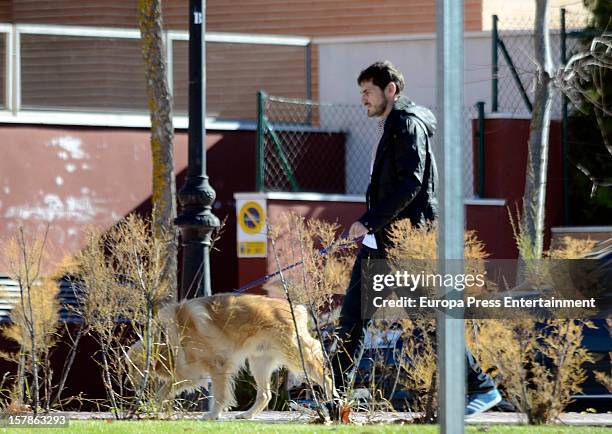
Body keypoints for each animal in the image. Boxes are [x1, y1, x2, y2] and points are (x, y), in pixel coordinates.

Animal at [126, 294, 332, 418]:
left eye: (132, 367)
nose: (131, 386)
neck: (169, 337)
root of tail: (296, 308)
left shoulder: (218, 366)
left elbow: (219, 395)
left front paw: (213, 414)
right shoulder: (190, 372)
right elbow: (163, 391)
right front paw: (149, 408)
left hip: (296, 356)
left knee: (325, 374)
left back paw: (333, 400)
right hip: (258, 363)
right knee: (265, 394)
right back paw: (247, 415)